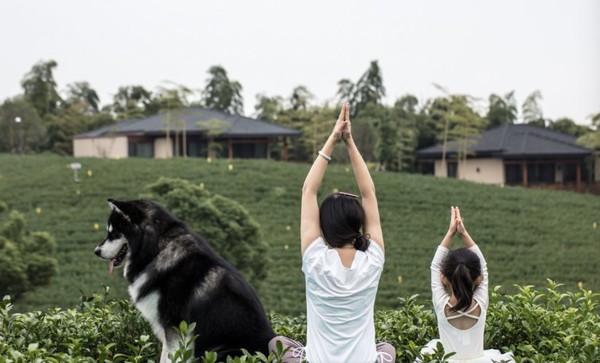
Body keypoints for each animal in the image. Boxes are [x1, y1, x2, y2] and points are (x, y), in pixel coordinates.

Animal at [94, 200, 276, 362]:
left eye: (113, 233)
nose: (96, 251)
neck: (157, 249)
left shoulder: (177, 327)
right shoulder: (168, 330)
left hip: (221, 353)